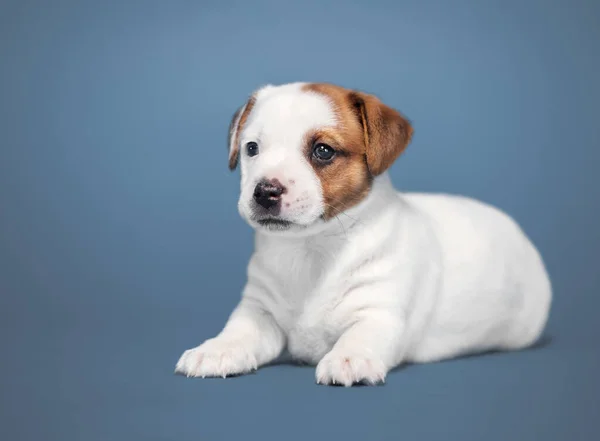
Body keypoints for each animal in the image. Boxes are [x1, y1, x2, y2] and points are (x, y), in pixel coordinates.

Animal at [175, 82, 552, 384]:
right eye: (252, 148)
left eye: (323, 151)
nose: (265, 191)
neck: (311, 249)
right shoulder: (258, 310)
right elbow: (239, 330)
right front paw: (216, 349)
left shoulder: (380, 312)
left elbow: (361, 335)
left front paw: (348, 357)